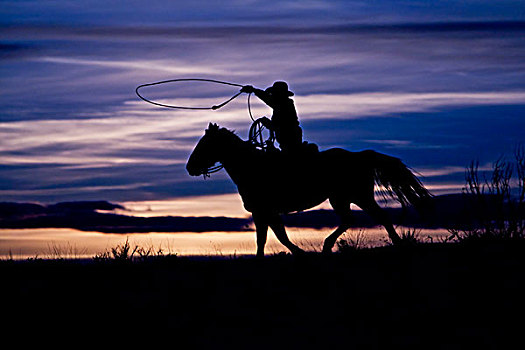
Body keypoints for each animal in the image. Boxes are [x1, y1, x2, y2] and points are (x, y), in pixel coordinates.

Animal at [185, 123, 430, 258]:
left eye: (204, 144)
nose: (190, 168)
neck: (252, 167)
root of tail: (361, 156)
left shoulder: (264, 211)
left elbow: (272, 237)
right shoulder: (264, 213)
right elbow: (273, 237)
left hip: (356, 196)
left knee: (375, 218)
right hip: (344, 198)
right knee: (355, 219)